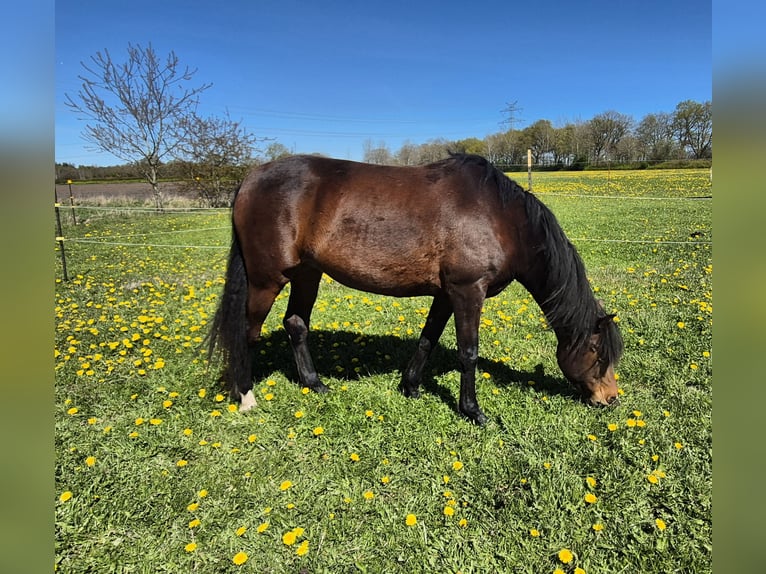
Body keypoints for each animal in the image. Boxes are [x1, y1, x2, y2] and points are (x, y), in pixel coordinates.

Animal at [207, 153, 623, 425]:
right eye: (597, 352)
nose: (611, 399)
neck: (502, 218)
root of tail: (251, 178)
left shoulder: (446, 293)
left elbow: (428, 339)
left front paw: (410, 387)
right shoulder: (468, 290)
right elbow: (468, 353)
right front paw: (474, 412)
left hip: (307, 274)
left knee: (295, 324)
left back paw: (315, 384)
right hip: (267, 279)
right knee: (248, 332)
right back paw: (246, 397)